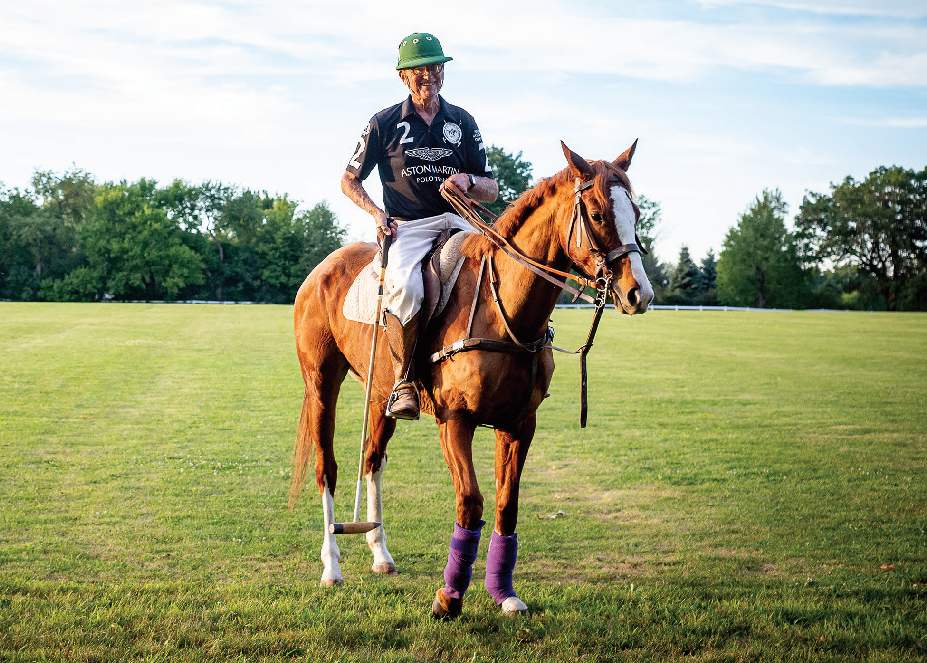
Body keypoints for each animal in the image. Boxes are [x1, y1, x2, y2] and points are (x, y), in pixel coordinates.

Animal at [290, 143, 652, 620]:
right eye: (595, 212)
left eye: (638, 211)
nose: (639, 294)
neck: (507, 311)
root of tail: (322, 268)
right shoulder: (455, 421)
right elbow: (471, 502)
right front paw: (449, 598)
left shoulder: (519, 424)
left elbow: (505, 504)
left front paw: (504, 593)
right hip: (320, 381)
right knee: (326, 467)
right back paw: (332, 565)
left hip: (380, 391)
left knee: (372, 459)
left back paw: (380, 552)